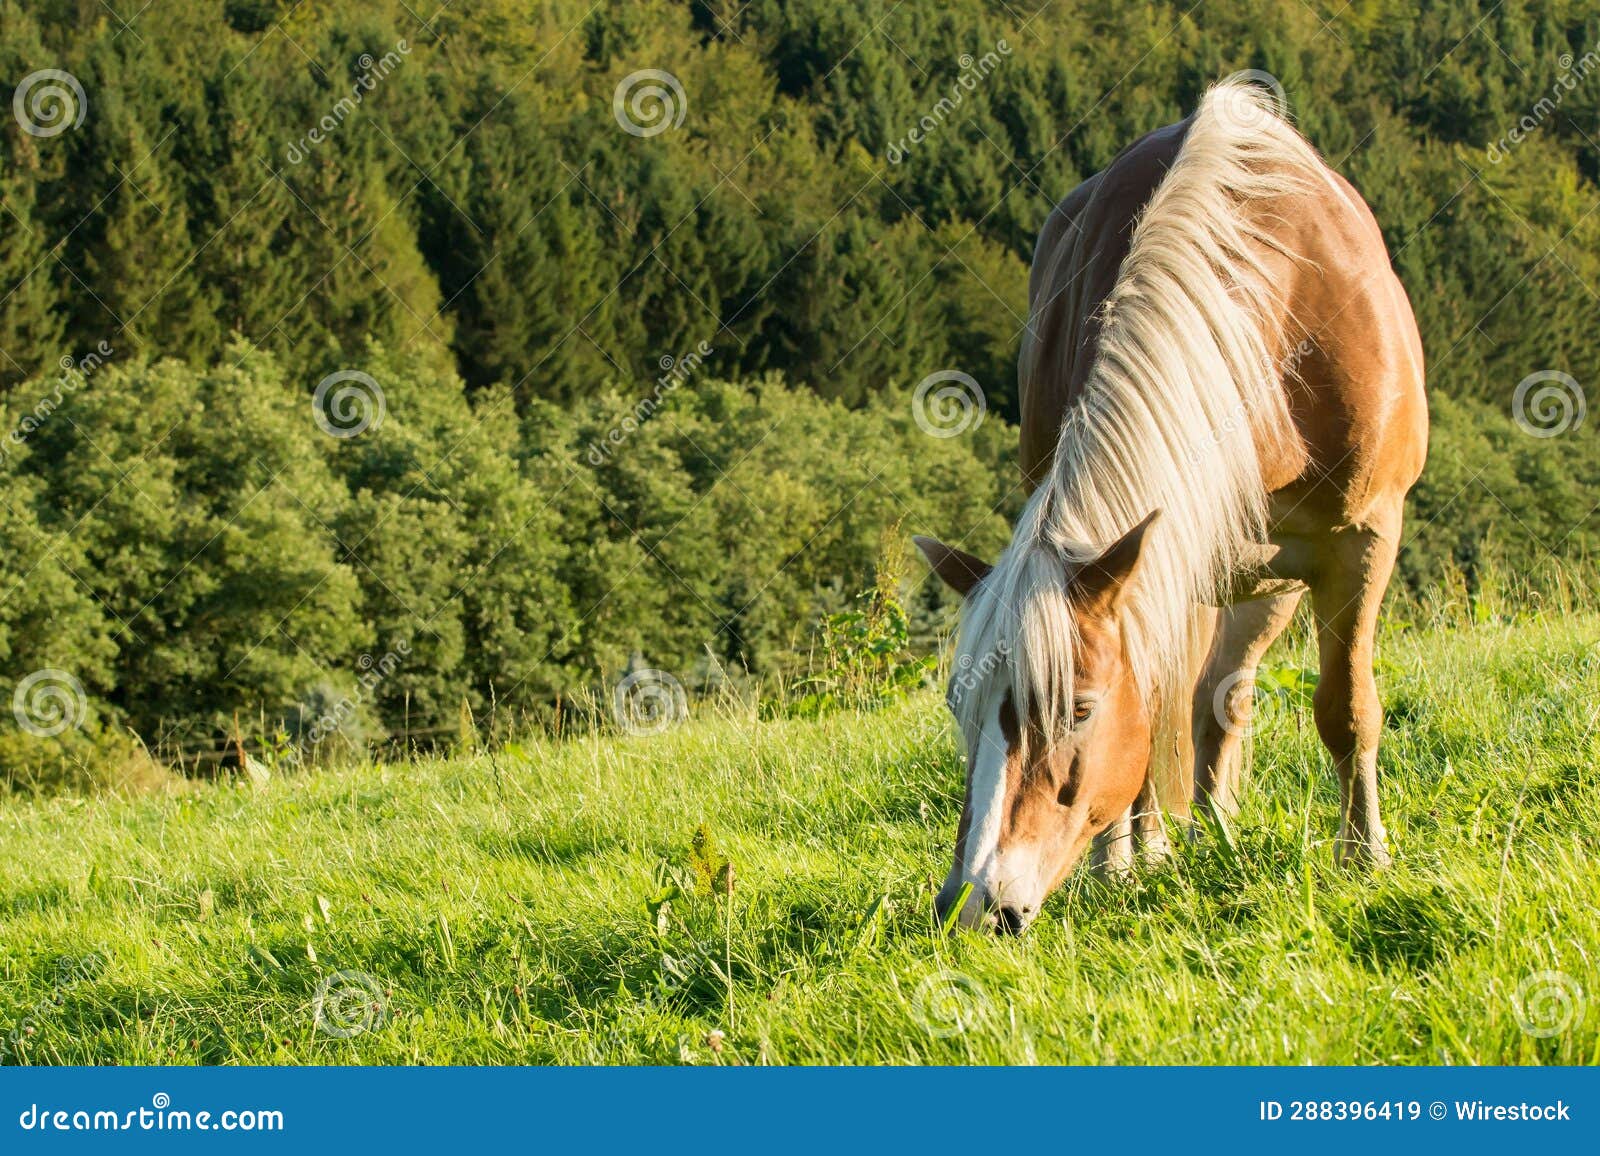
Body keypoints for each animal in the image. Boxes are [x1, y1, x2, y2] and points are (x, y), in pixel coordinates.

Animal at [914, 79, 1428, 933]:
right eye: (963, 710)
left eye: (1079, 709)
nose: (975, 903)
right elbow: (1156, 723)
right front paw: (1122, 865)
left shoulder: (1363, 537)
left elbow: (1346, 706)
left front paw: (1365, 858)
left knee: (1224, 699)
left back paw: (1218, 830)